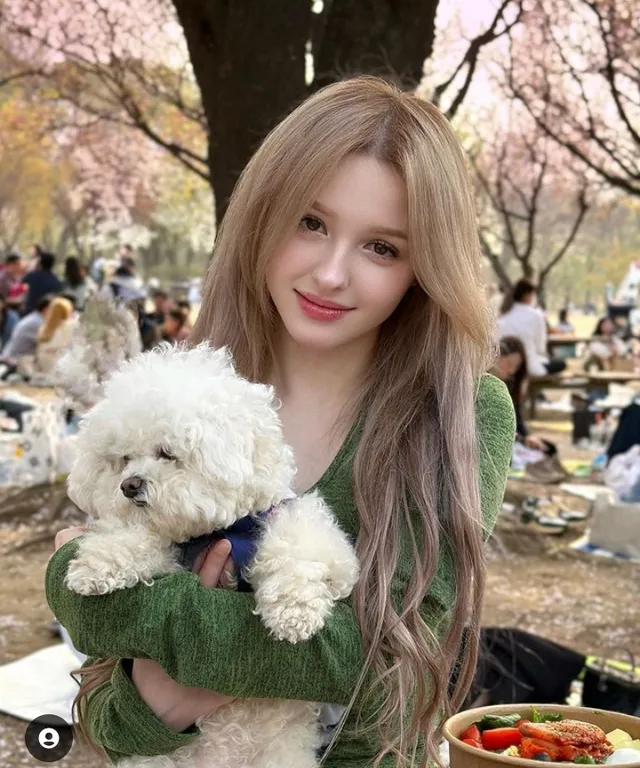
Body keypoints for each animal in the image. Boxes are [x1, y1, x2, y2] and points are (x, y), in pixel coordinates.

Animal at [65, 344, 360, 768]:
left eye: (167, 453)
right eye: (122, 459)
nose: (128, 485)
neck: (216, 532)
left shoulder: (305, 532)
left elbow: (300, 548)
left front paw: (293, 611)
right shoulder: (174, 549)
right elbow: (141, 541)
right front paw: (97, 563)